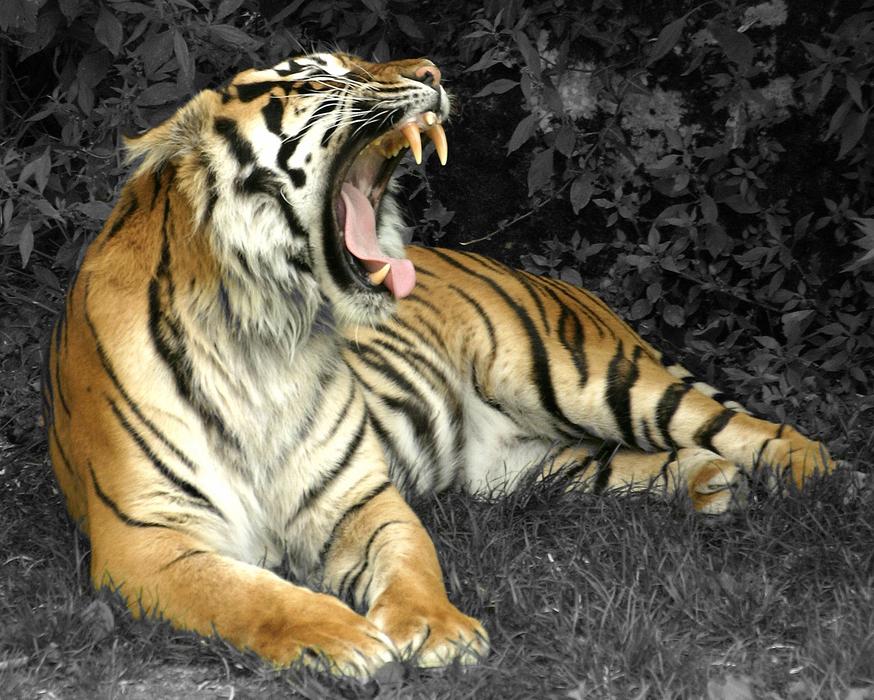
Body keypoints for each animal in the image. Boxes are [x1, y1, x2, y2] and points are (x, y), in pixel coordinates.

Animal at [42, 52, 835, 676]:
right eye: (320, 76)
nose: (431, 73)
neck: (267, 330)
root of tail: (548, 279)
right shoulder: (149, 541)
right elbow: (248, 595)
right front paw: (340, 638)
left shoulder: (361, 498)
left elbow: (412, 562)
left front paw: (436, 630)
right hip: (530, 469)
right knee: (637, 461)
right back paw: (709, 484)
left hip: (585, 376)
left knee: (747, 428)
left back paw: (826, 480)